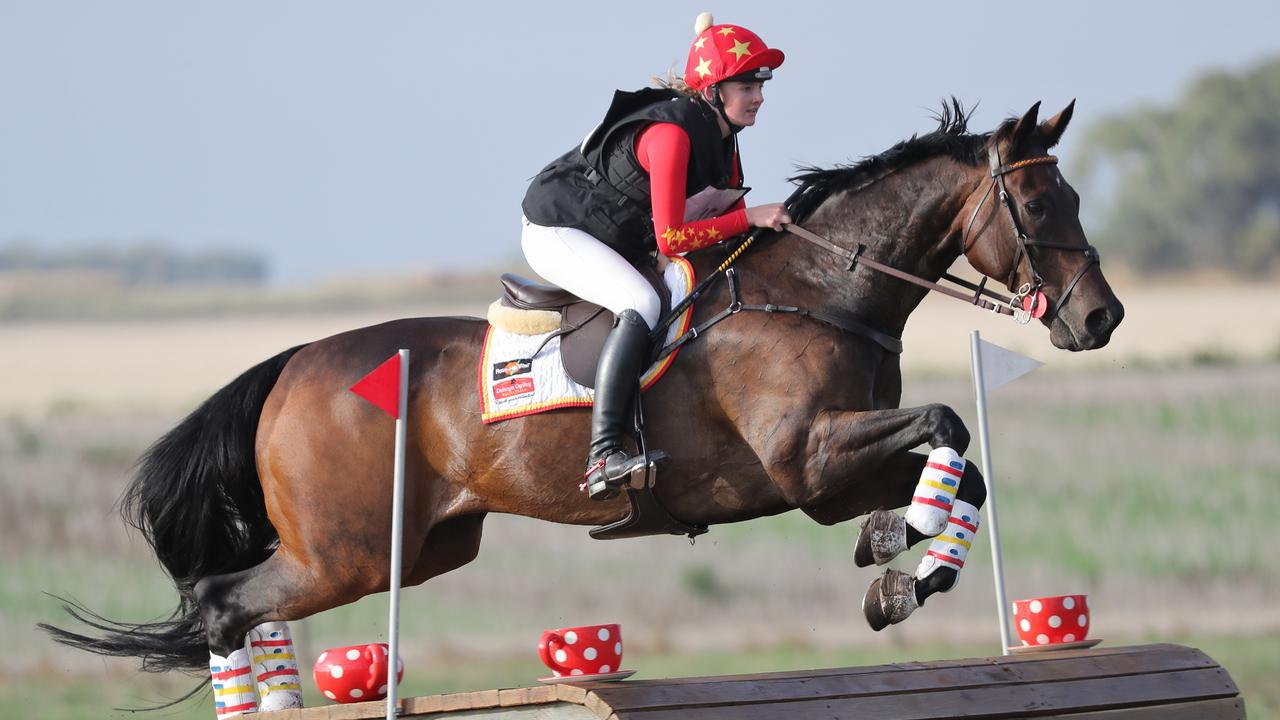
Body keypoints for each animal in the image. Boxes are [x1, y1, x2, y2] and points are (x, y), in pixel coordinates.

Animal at [45, 101, 1121, 676]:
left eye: (1071, 195)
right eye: (1037, 204)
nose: (1101, 318)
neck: (824, 290)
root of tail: (295, 363)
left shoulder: (834, 471)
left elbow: (960, 470)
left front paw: (898, 566)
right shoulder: (808, 459)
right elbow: (946, 422)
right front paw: (897, 557)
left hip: (416, 550)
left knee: (229, 606)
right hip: (343, 554)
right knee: (223, 603)